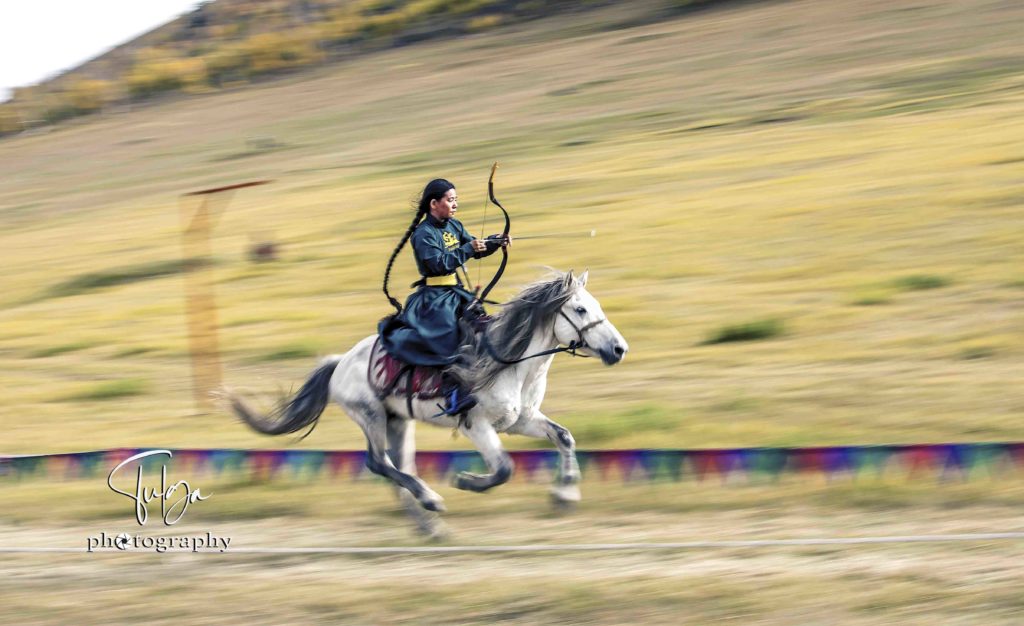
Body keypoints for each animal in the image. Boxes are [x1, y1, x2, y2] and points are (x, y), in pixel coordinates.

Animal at [230, 268, 622, 532]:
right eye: (581, 310)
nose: (619, 349)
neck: (512, 363)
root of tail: (339, 362)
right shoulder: (476, 425)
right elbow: (504, 469)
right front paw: (466, 481)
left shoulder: (521, 420)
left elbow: (564, 437)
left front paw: (565, 495)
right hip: (370, 415)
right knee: (378, 463)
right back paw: (431, 500)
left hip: (398, 422)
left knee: (400, 468)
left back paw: (428, 526)